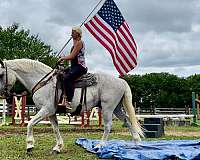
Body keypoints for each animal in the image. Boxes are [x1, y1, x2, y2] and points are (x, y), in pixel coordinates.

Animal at [0, 58, 144, 154]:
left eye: (1, 75)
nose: (3, 94)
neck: (43, 82)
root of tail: (120, 81)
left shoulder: (46, 110)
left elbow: (30, 123)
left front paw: (29, 146)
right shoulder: (51, 113)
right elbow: (55, 129)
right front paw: (57, 147)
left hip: (108, 108)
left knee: (108, 126)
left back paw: (100, 146)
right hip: (116, 108)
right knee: (127, 121)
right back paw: (137, 144)